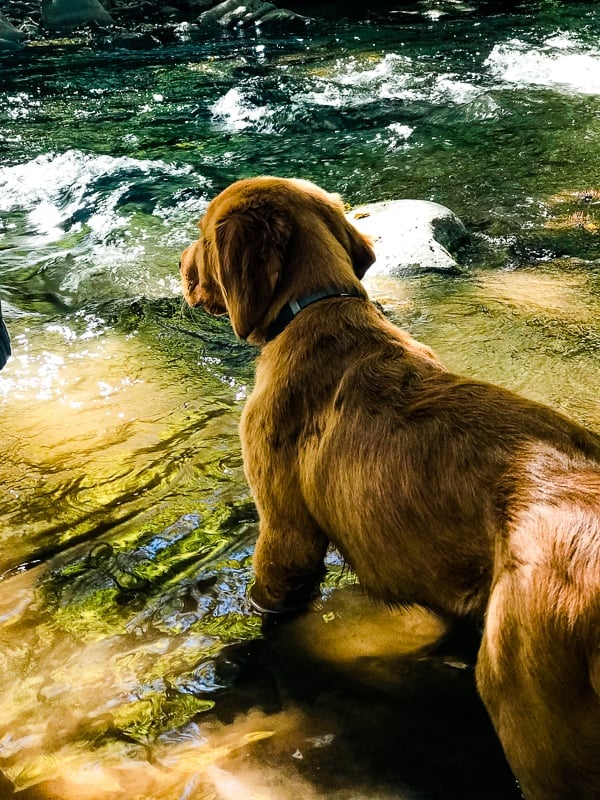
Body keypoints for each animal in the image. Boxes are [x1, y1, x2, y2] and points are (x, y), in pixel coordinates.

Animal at [180, 177, 600, 800]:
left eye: (204, 235)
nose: (181, 267)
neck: (320, 307)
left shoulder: (285, 533)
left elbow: (272, 606)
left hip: (533, 708)